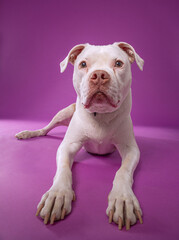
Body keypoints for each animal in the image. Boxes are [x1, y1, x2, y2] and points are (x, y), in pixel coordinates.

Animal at [15, 42, 144, 230]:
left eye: (119, 63)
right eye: (83, 64)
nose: (99, 75)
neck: (100, 115)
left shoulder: (131, 149)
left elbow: (123, 171)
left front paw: (123, 199)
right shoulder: (67, 146)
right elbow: (63, 170)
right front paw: (58, 195)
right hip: (63, 113)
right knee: (46, 129)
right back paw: (28, 133)